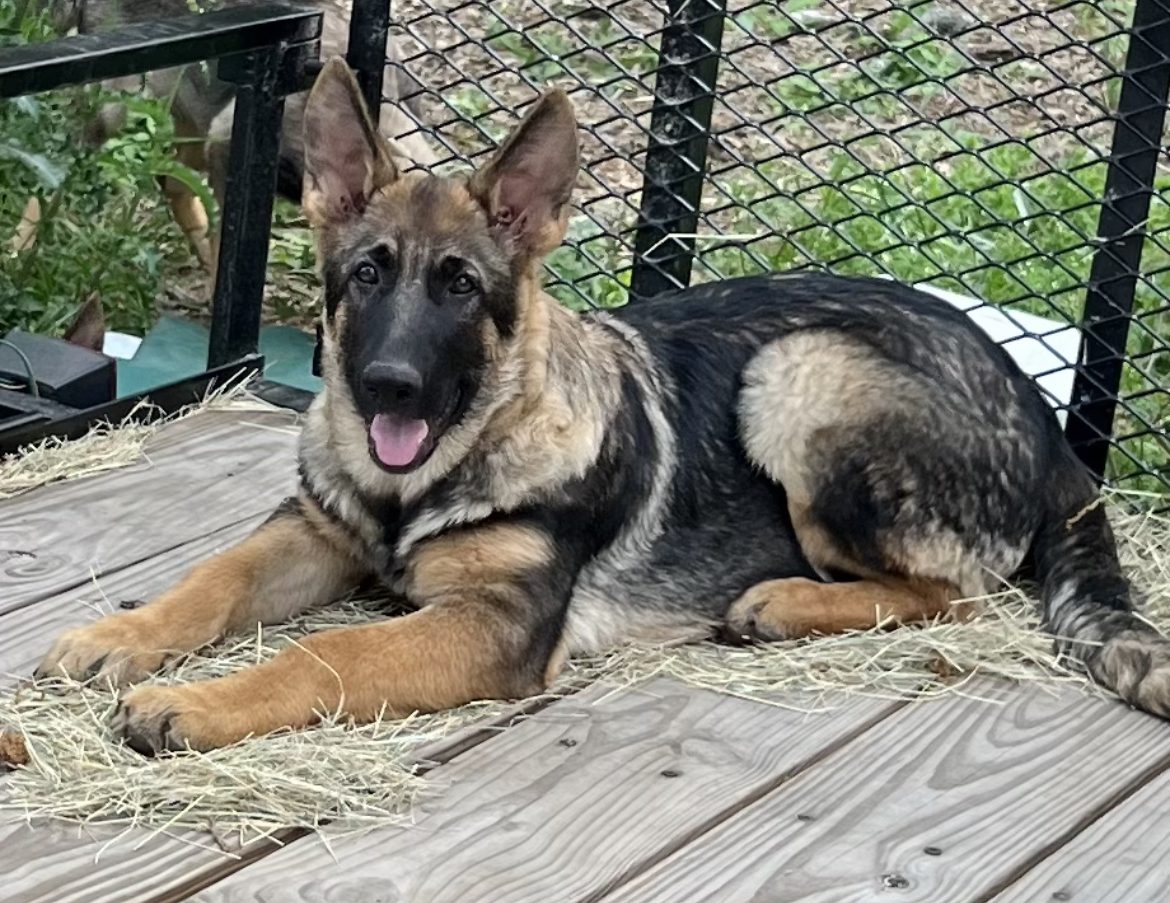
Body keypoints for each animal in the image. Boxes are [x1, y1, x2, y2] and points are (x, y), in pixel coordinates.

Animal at [36, 59, 1170, 753]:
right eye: (366, 275)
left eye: (460, 288)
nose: (386, 387)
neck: (447, 465)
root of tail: (1045, 421)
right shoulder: (315, 533)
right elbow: (213, 578)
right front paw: (119, 634)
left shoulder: (493, 626)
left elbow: (329, 653)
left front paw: (195, 701)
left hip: (798, 372)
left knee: (956, 593)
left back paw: (781, 601)